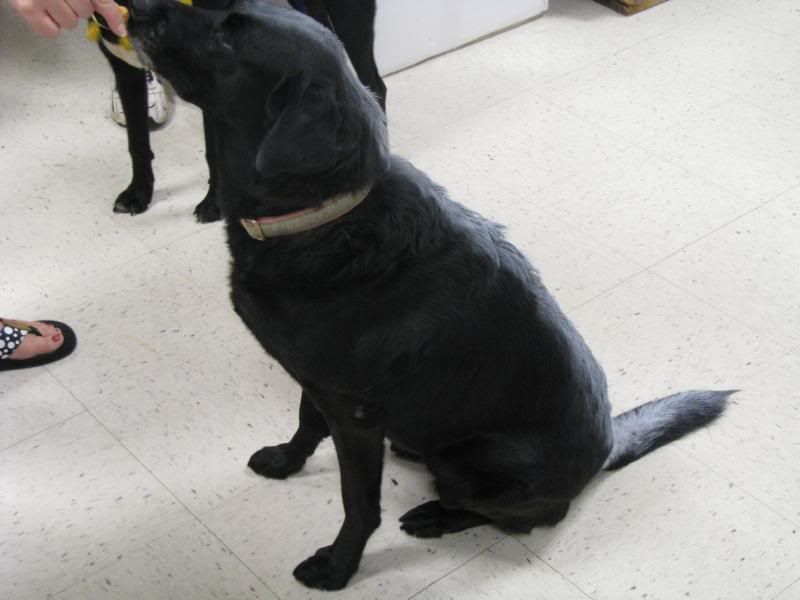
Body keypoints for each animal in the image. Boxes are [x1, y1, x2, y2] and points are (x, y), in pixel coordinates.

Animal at [94, 0, 388, 220]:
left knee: (374, 85)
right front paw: (138, 191)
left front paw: (214, 202)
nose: (140, 6)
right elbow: (137, 142)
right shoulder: (124, 68)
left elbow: (214, 152)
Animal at [130, 0, 732, 592]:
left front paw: (338, 567)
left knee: (518, 517)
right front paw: (286, 461)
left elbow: (358, 502)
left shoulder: (354, 413)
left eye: (228, 37)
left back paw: (436, 515)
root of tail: (608, 449)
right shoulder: (318, 383)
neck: (324, 216)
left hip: (477, 462)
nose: (135, 9)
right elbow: (306, 424)